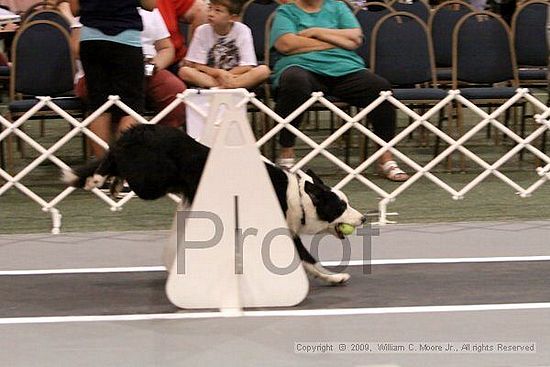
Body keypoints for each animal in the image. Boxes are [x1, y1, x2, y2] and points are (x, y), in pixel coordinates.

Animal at [63, 124, 366, 284]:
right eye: (340, 207)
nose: (363, 218)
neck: (297, 198)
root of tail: (139, 129)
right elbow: (307, 256)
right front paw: (335, 277)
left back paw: (111, 184)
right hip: (151, 181)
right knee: (113, 157)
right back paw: (98, 178)